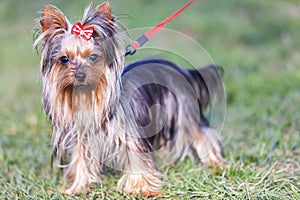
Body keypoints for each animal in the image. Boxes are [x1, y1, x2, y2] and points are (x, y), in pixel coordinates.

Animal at [34, 0, 224, 196]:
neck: (86, 96)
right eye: (64, 59)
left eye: (93, 57)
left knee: (203, 133)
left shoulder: (131, 135)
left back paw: (214, 164)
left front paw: (142, 188)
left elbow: (137, 158)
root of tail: (182, 70)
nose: (80, 75)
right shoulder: (81, 136)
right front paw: (77, 187)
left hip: (183, 111)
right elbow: (80, 160)